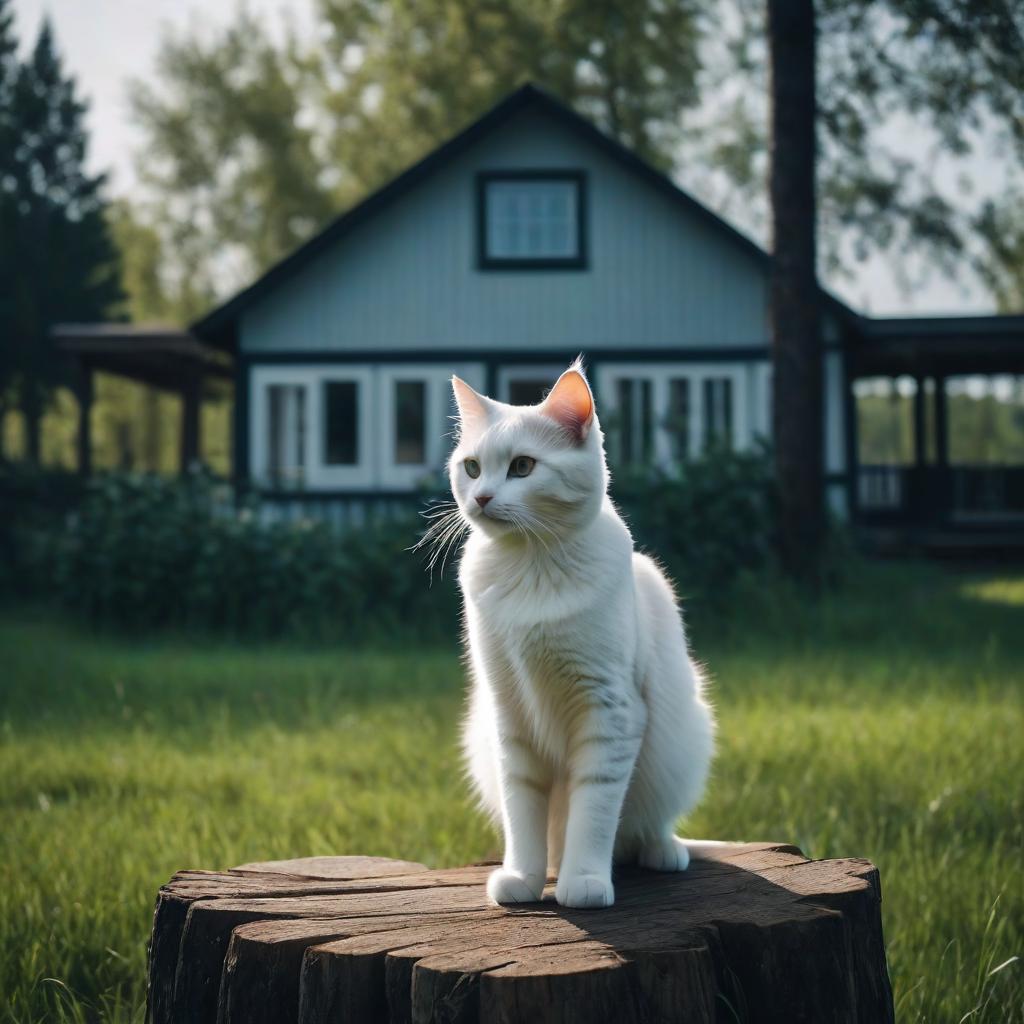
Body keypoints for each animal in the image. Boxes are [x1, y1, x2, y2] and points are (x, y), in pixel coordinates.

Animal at [444, 362, 716, 913]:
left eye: (523, 467)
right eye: (473, 468)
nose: (481, 498)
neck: (531, 566)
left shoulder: (610, 711)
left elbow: (594, 809)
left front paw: (585, 880)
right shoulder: (510, 717)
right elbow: (522, 811)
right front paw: (523, 879)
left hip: (682, 741)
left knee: (643, 827)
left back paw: (662, 850)